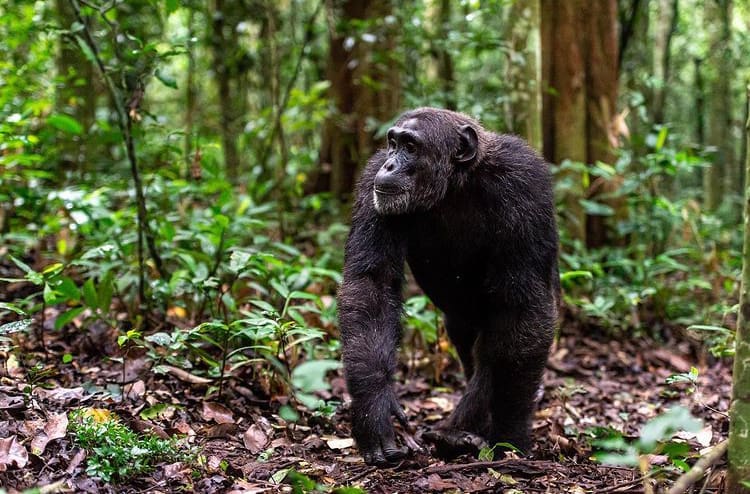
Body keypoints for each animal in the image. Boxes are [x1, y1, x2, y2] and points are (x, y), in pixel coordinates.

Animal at [338, 108, 559, 466]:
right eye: (393, 143)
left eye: (411, 147)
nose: (390, 164)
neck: (456, 183)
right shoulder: (372, 180)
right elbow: (372, 284)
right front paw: (375, 411)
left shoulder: (526, 182)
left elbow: (522, 305)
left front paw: (511, 436)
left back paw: (457, 433)